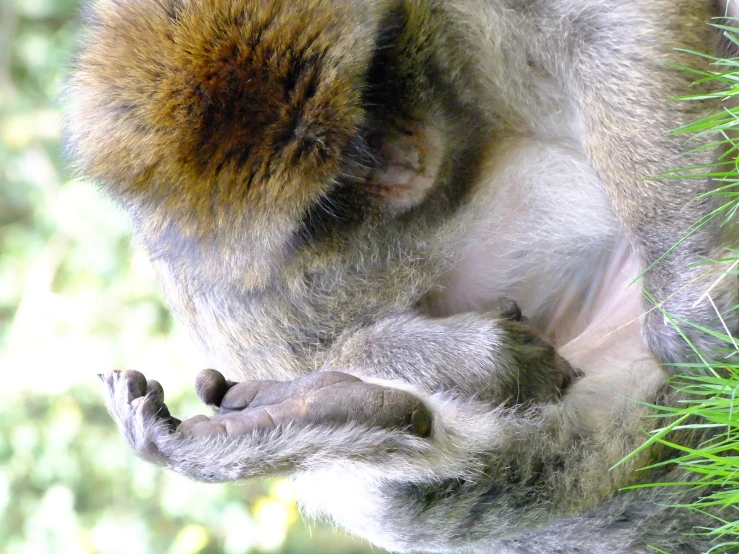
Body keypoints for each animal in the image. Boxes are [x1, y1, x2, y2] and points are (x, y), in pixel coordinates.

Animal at [65, 0, 739, 548]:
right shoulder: (238, 298)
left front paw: (689, 304)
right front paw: (476, 358)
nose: (405, 158)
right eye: (340, 177)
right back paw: (319, 410)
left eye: (372, 93)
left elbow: (594, 22)